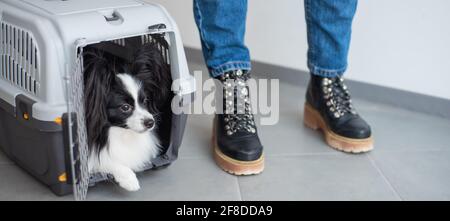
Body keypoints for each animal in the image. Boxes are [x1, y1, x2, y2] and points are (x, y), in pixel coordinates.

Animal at [81, 43, 171, 192]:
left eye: (145, 101)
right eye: (125, 107)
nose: (150, 122)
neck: (123, 133)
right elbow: (103, 160)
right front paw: (129, 179)